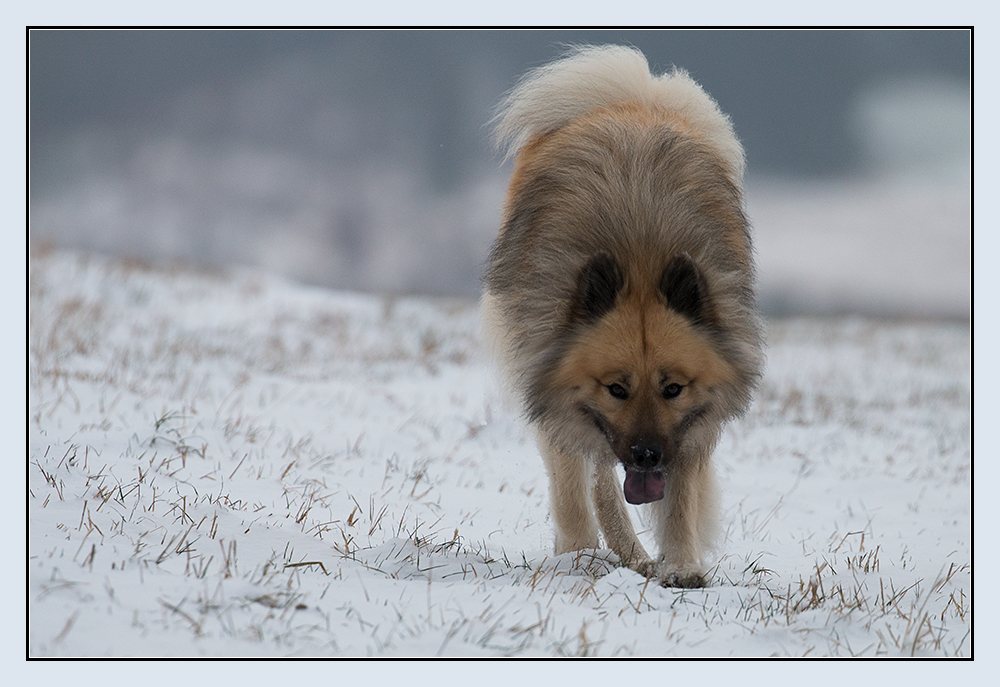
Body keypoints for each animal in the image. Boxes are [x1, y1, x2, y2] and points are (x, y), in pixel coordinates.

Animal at [480, 45, 760, 588]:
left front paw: (682, 565)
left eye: (673, 388)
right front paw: (579, 557)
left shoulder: (689, 428)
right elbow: (581, 485)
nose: (647, 455)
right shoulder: (550, 381)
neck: (640, 257)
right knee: (588, 478)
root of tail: (635, 98)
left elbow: (681, 497)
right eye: (616, 388)